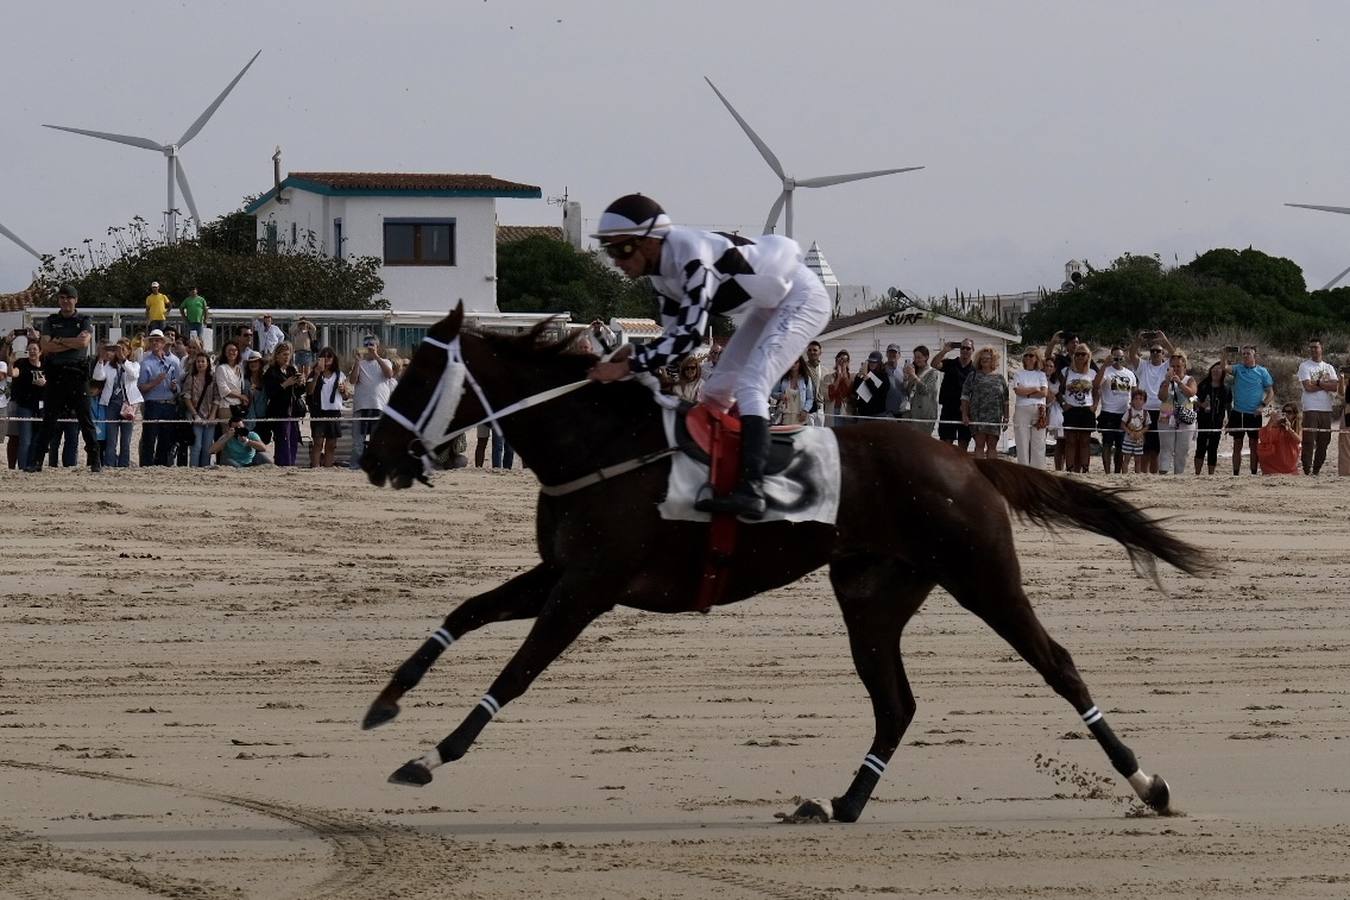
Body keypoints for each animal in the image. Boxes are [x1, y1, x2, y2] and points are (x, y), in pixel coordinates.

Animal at [361, 307, 1215, 825]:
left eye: (419, 378)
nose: (374, 458)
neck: (601, 446)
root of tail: (967, 458)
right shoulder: (559, 574)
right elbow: (464, 612)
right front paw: (386, 702)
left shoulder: (589, 588)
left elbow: (516, 672)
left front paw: (430, 756)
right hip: (871, 595)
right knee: (897, 704)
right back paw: (843, 802)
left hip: (981, 575)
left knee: (1058, 664)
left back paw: (1150, 784)